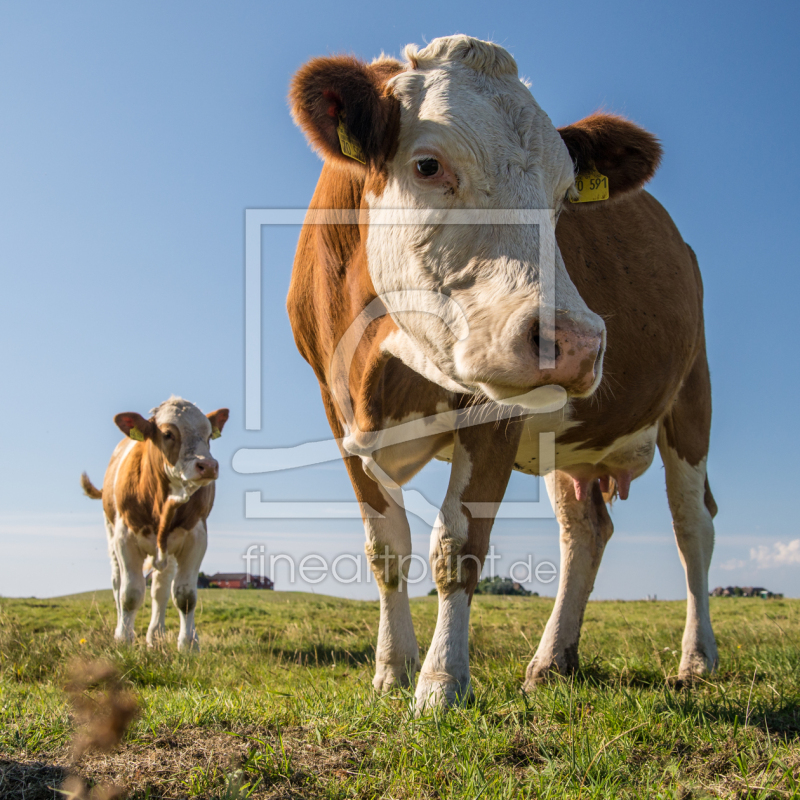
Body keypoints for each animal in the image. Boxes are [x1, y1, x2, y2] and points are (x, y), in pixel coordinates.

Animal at [81, 396, 228, 648]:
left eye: (209, 435)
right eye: (168, 434)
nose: (208, 466)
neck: (164, 503)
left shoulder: (196, 537)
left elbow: (185, 595)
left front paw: (188, 644)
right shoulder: (125, 538)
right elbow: (130, 594)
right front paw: (124, 639)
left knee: (160, 588)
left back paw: (156, 635)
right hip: (111, 533)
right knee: (117, 583)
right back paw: (121, 629)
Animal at [288, 36, 720, 712]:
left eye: (565, 195)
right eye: (428, 166)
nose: (576, 343)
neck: (379, 368)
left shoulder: (493, 409)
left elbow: (458, 545)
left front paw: (441, 684)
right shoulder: (340, 416)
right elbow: (386, 548)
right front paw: (392, 669)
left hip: (691, 398)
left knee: (692, 526)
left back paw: (697, 659)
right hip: (571, 446)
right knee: (585, 532)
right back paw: (552, 661)